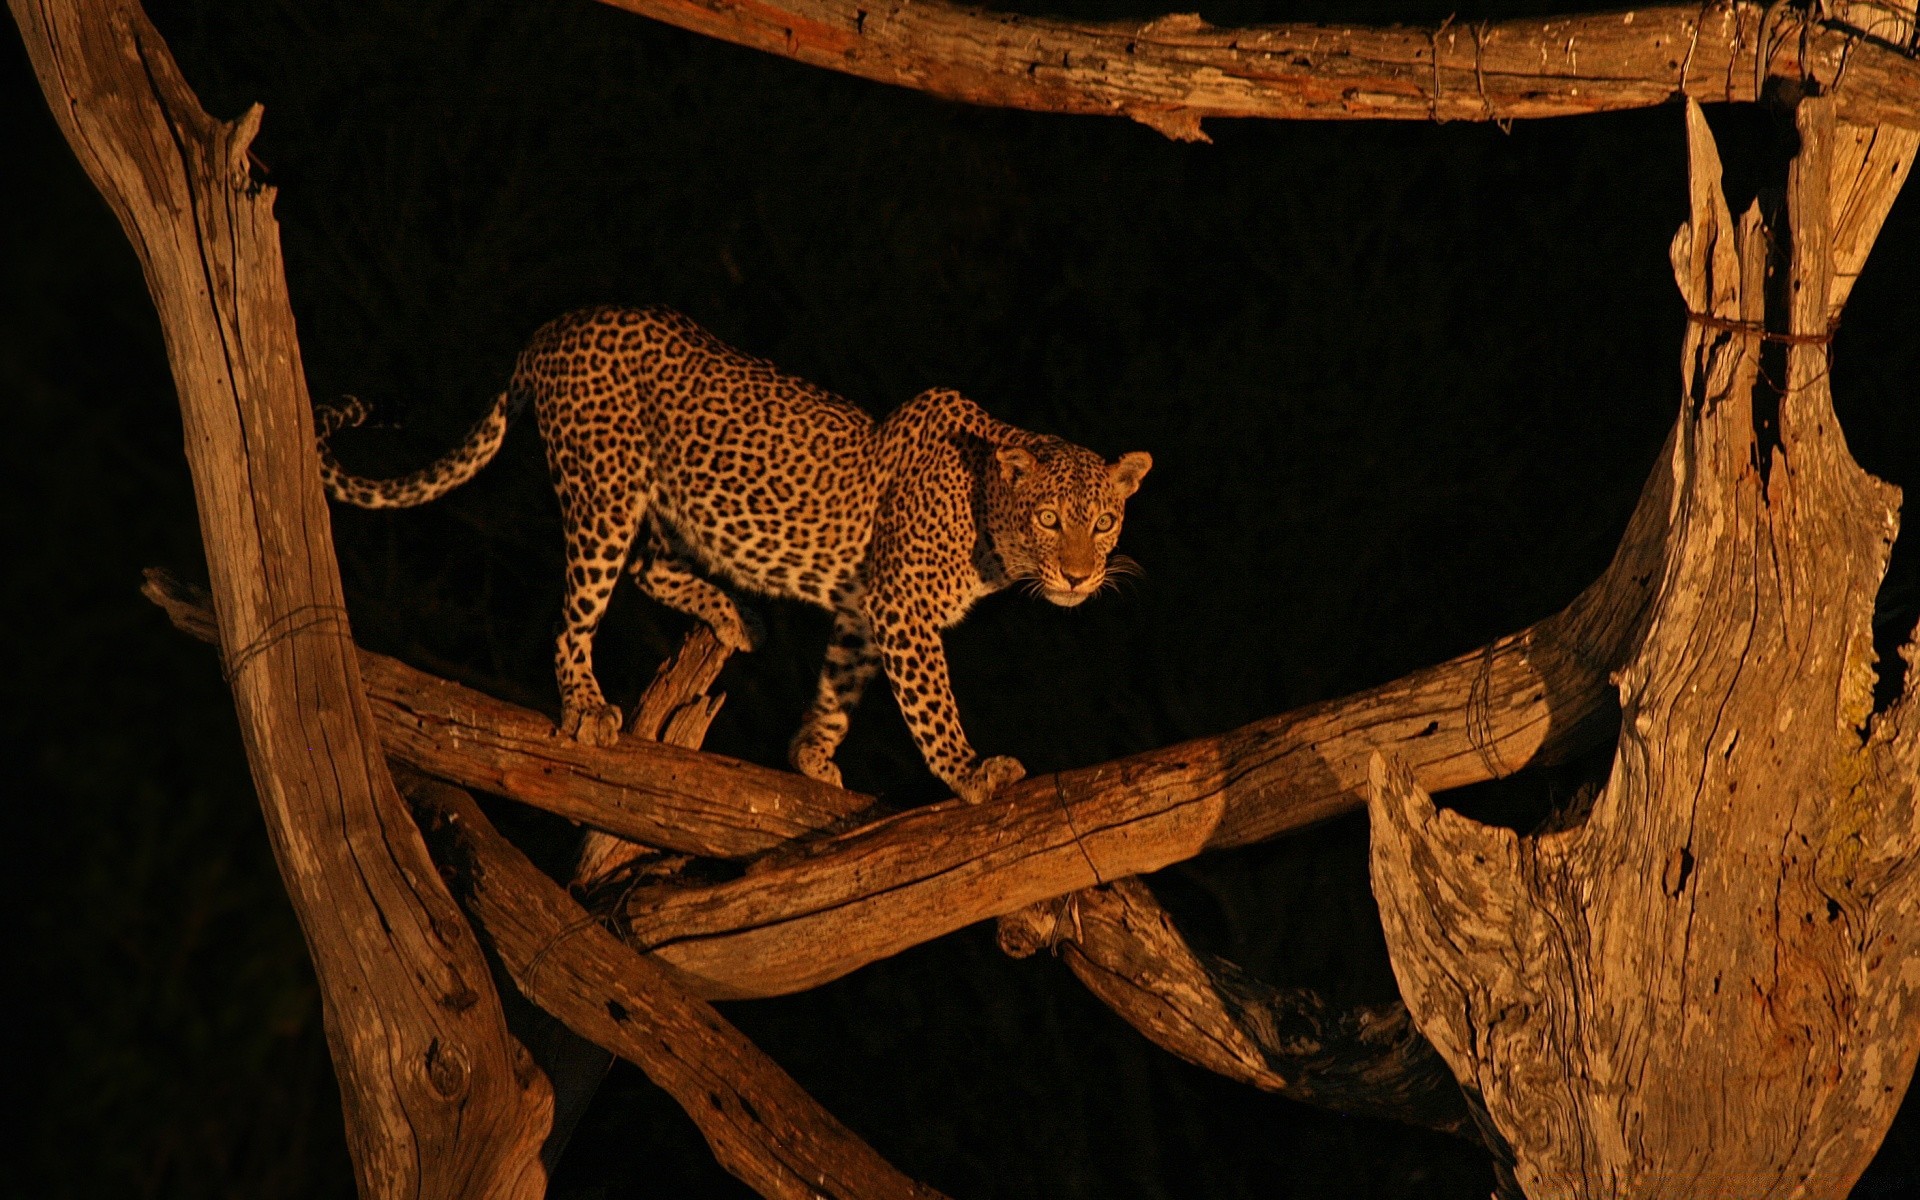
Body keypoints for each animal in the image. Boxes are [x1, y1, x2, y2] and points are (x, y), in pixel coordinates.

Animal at [320, 303, 1144, 806]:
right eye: (1049, 519)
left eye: (1105, 522)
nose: (1081, 575)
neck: (985, 521)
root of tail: (557, 326)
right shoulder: (903, 608)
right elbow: (931, 702)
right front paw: (970, 774)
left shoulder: (865, 608)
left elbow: (840, 683)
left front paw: (811, 754)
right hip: (603, 491)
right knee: (576, 614)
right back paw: (585, 702)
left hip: (658, 501)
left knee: (648, 569)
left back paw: (735, 617)